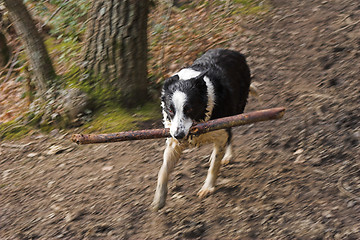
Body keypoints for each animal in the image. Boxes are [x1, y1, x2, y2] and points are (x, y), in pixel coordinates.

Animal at [152, 48, 250, 210]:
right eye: (170, 110)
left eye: (189, 109)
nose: (179, 135)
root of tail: (234, 52)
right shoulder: (173, 140)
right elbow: (163, 170)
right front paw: (159, 199)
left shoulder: (221, 130)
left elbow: (214, 165)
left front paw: (208, 188)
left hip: (236, 111)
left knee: (230, 135)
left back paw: (228, 155)